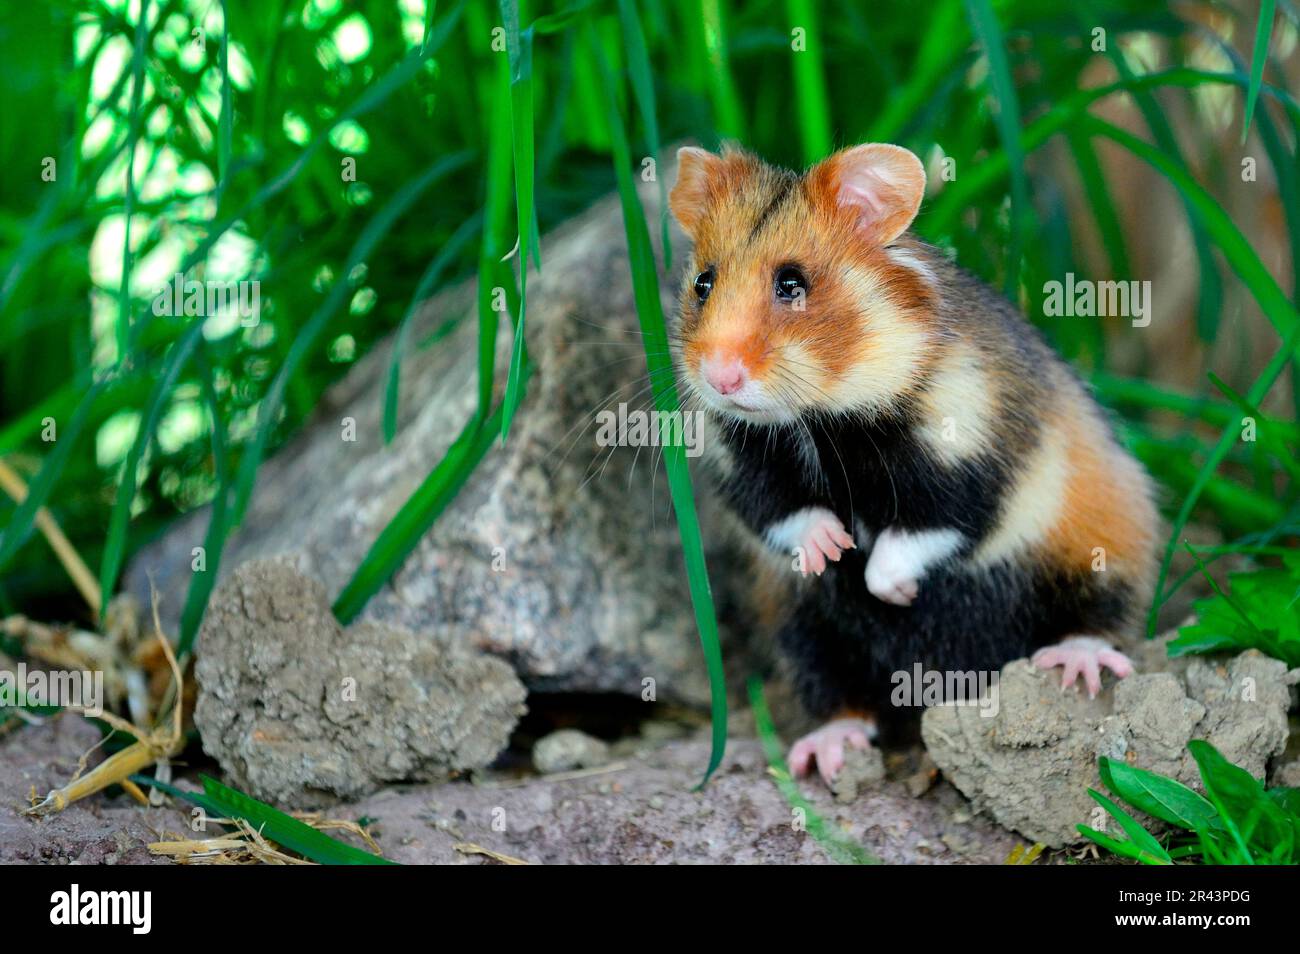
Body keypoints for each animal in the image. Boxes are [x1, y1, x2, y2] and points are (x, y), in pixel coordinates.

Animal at [667, 142, 1159, 786]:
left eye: (792, 283)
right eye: (703, 282)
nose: (719, 377)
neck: (820, 417)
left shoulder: (976, 458)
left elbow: (924, 530)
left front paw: (892, 590)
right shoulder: (741, 466)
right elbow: (784, 514)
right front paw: (831, 550)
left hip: (1097, 546)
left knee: (1099, 615)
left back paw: (1074, 663)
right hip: (804, 632)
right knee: (835, 691)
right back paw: (826, 752)